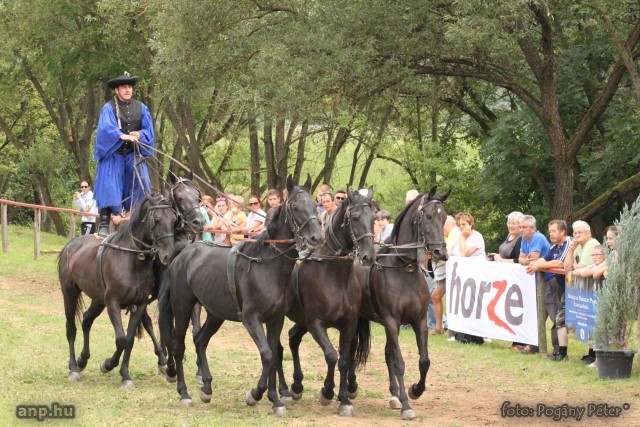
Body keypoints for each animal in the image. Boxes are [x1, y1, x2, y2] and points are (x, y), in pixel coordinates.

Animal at [58, 194, 179, 388]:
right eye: (157, 219)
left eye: (174, 220)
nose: (168, 255)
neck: (134, 258)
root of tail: (71, 245)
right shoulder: (113, 302)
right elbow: (121, 339)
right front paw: (108, 364)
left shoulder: (140, 304)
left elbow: (128, 340)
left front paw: (125, 375)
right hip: (70, 294)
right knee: (71, 329)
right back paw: (74, 368)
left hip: (98, 299)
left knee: (86, 320)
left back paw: (82, 360)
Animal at [158, 176, 322, 416]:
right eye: (296, 207)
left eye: (315, 206)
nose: (317, 237)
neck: (267, 267)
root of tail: (185, 252)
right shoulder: (251, 319)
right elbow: (267, 354)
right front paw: (255, 394)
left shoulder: (276, 320)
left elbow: (274, 356)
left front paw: (275, 399)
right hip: (183, 307)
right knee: (179, 346)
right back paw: (184, 393)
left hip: (215, 314)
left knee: (200, 340)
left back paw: (206, 387)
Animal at [282, 186, 378, 416]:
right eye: (354, 217)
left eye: (374, 218)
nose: (368, 256)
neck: (333, 273)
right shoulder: (316, 323)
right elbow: (332, 355)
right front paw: (327, 392)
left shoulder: (349, 324)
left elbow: (344, 359)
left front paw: (344, 399)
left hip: (301, 321)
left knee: (293, 338)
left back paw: (297, 385)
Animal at [352, 186, 448, 418]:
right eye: (428, 216)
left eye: (444, 217)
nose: (441, 252)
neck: (404, 268)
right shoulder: (392, 321)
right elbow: (399, 362)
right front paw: (406, 404)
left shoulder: (419, 321)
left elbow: (424, 361)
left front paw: (415, 390)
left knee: (388, 354)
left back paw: (394, 394)